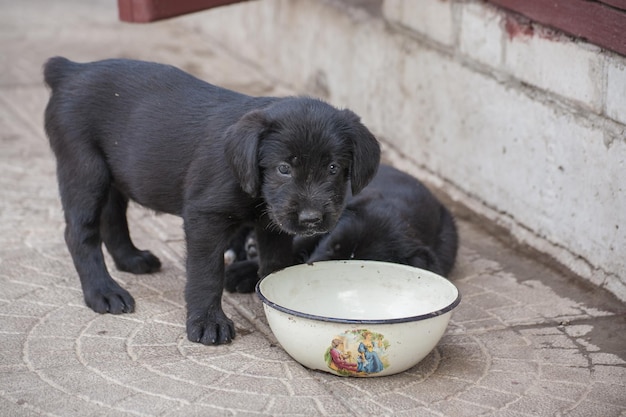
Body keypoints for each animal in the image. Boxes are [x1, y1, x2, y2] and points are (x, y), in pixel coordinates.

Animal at [45, 57, 380, 344]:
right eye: (284, 168)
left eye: (333, 167)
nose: (311, 219)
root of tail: (70, 69)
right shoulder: (204, 218)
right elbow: (206, 273)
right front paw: (207, 322)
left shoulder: (271, 225)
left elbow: (275, 263)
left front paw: (275, 301)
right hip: (84, 167)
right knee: (79, 233)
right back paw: (102, 291)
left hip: (113, 173)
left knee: (112, 217)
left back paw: (131, 259)